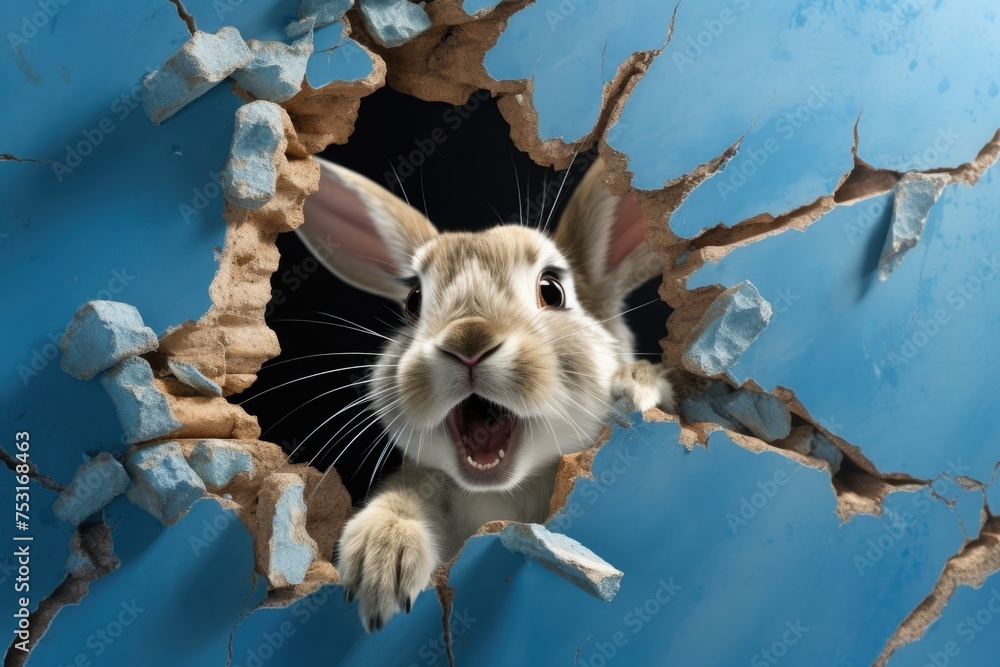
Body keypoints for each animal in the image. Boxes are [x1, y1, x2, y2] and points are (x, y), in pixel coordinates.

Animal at [297, 155, 674, 632]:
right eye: (413, 300)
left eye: (552, 290)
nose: (468, 342)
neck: (500, 492)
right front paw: (380, 563)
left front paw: (637, 385)